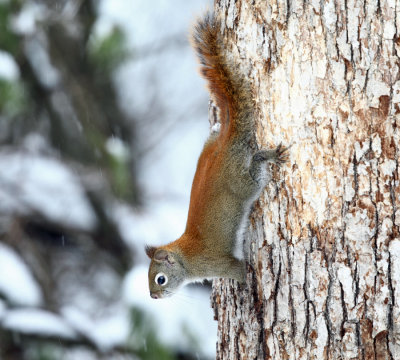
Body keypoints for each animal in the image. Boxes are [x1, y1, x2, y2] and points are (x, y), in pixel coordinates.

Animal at [145, 13, 288, 298]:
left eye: (160, 279)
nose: (153, 296)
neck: (187, 258)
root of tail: (223, 144)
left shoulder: (220, 264)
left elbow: (239, 271)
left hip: (242, 183)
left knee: (254, 169)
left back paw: (268, 156)